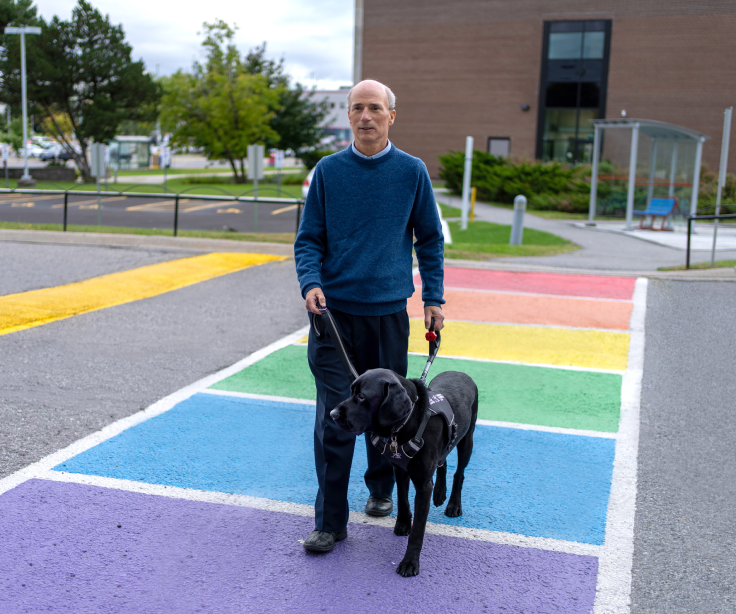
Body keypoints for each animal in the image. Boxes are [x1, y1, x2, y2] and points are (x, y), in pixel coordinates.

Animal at [330, 370, 480, 576]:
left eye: (361, 396)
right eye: (351, 391)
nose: (332, 414)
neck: (407, 424)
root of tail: (460, 372)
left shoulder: (423, 486)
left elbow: (418, 529)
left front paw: (410, 562)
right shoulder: (400, 469)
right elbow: (402, 499)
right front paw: (402, 524)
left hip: (467, 439)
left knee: (459, 472)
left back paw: (453, 504)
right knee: (443, 460)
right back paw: (440, 494)